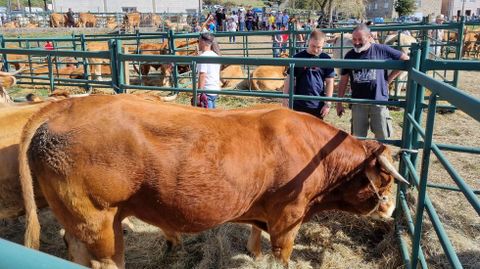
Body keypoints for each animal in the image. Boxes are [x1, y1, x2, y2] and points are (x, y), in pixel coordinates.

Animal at [20, 93, 406, 266]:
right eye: (385, 179)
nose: (391, 212)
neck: (315, 153)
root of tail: (69, 106)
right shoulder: (288, 216)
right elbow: (281, 254)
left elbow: (254, 239)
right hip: (97, 220)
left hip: (85, 222)